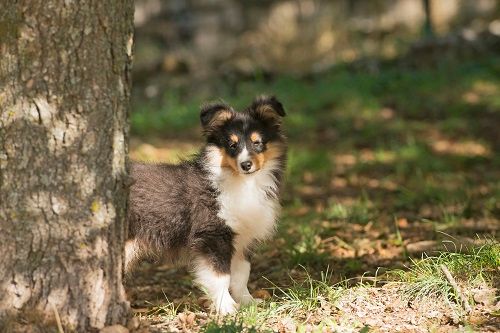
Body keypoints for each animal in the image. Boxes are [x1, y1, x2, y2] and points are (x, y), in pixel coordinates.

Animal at [127, 94, 288, 312]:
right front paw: (226, 307)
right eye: (232, 145)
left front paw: (248, 302)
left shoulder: (243, 238)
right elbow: (221, 276)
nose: (246, 165)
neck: (241, 182)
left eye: (258, 143)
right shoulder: (213, 235)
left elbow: (242, 274)